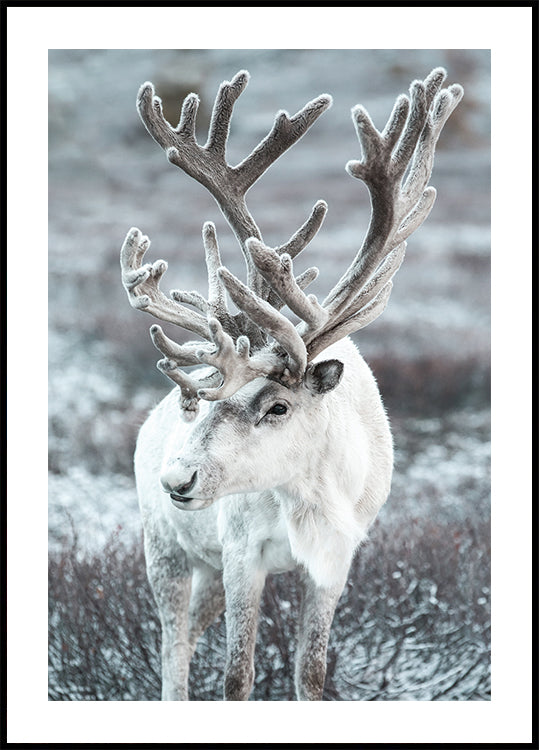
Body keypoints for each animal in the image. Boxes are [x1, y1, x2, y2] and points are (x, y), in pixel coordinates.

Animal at [120, 67, 463, 701]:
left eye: (278, 406)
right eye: (209, 400)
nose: (178, 479)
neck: (309, 496)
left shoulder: (335, 560)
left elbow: (312, 673)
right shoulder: (240, 555)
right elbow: (236, 677)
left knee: (189, 635)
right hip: (167, 550)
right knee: (173, 651)